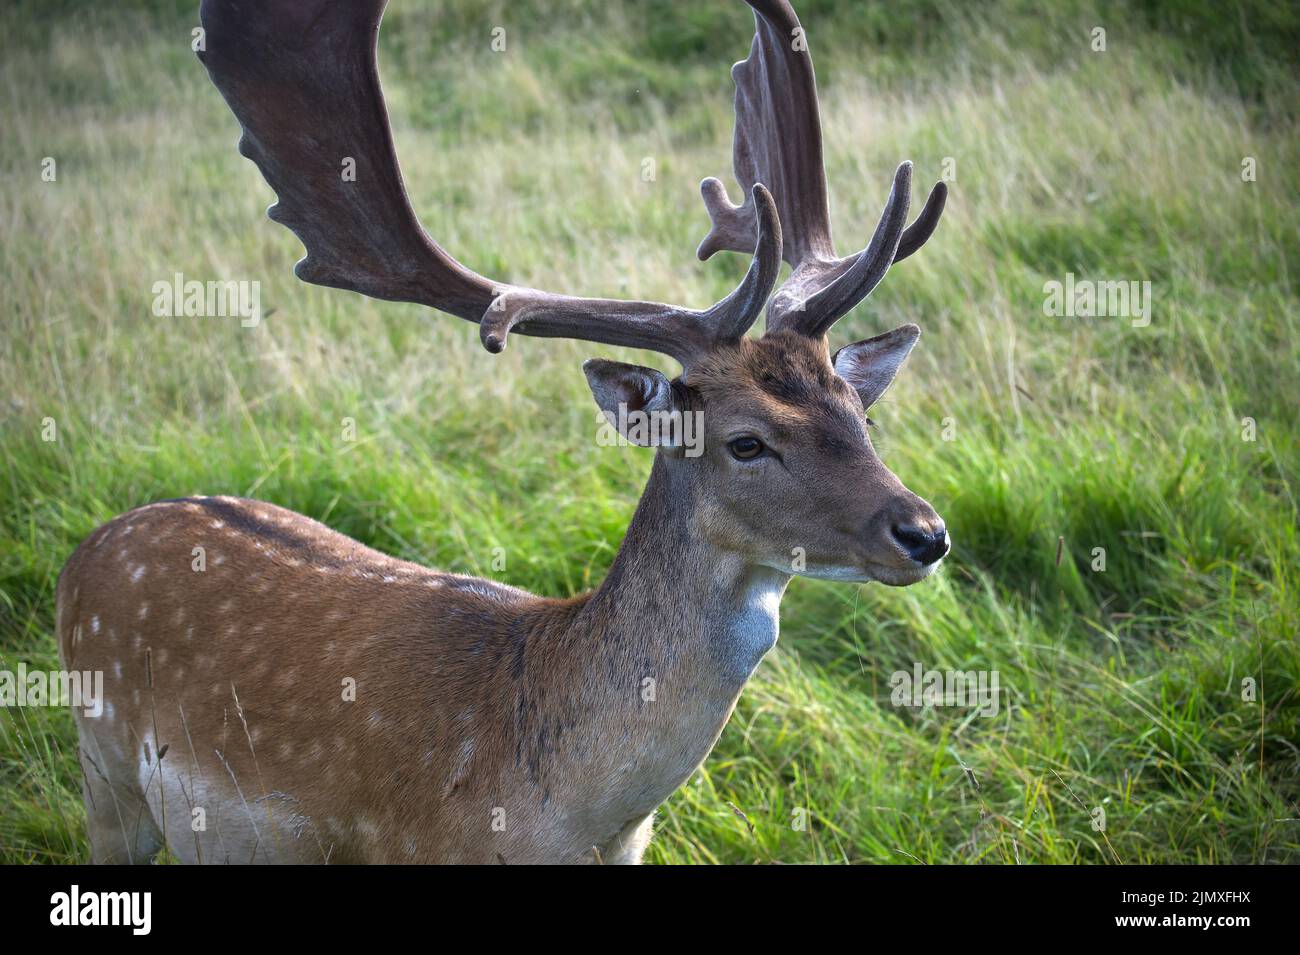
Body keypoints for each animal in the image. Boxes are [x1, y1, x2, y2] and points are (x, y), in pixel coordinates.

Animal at [56, 0, 950, 864]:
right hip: (107, 774)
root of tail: (88, 547)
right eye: (746, 441)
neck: (570, 822)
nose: (926, 531)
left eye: (859, 411)